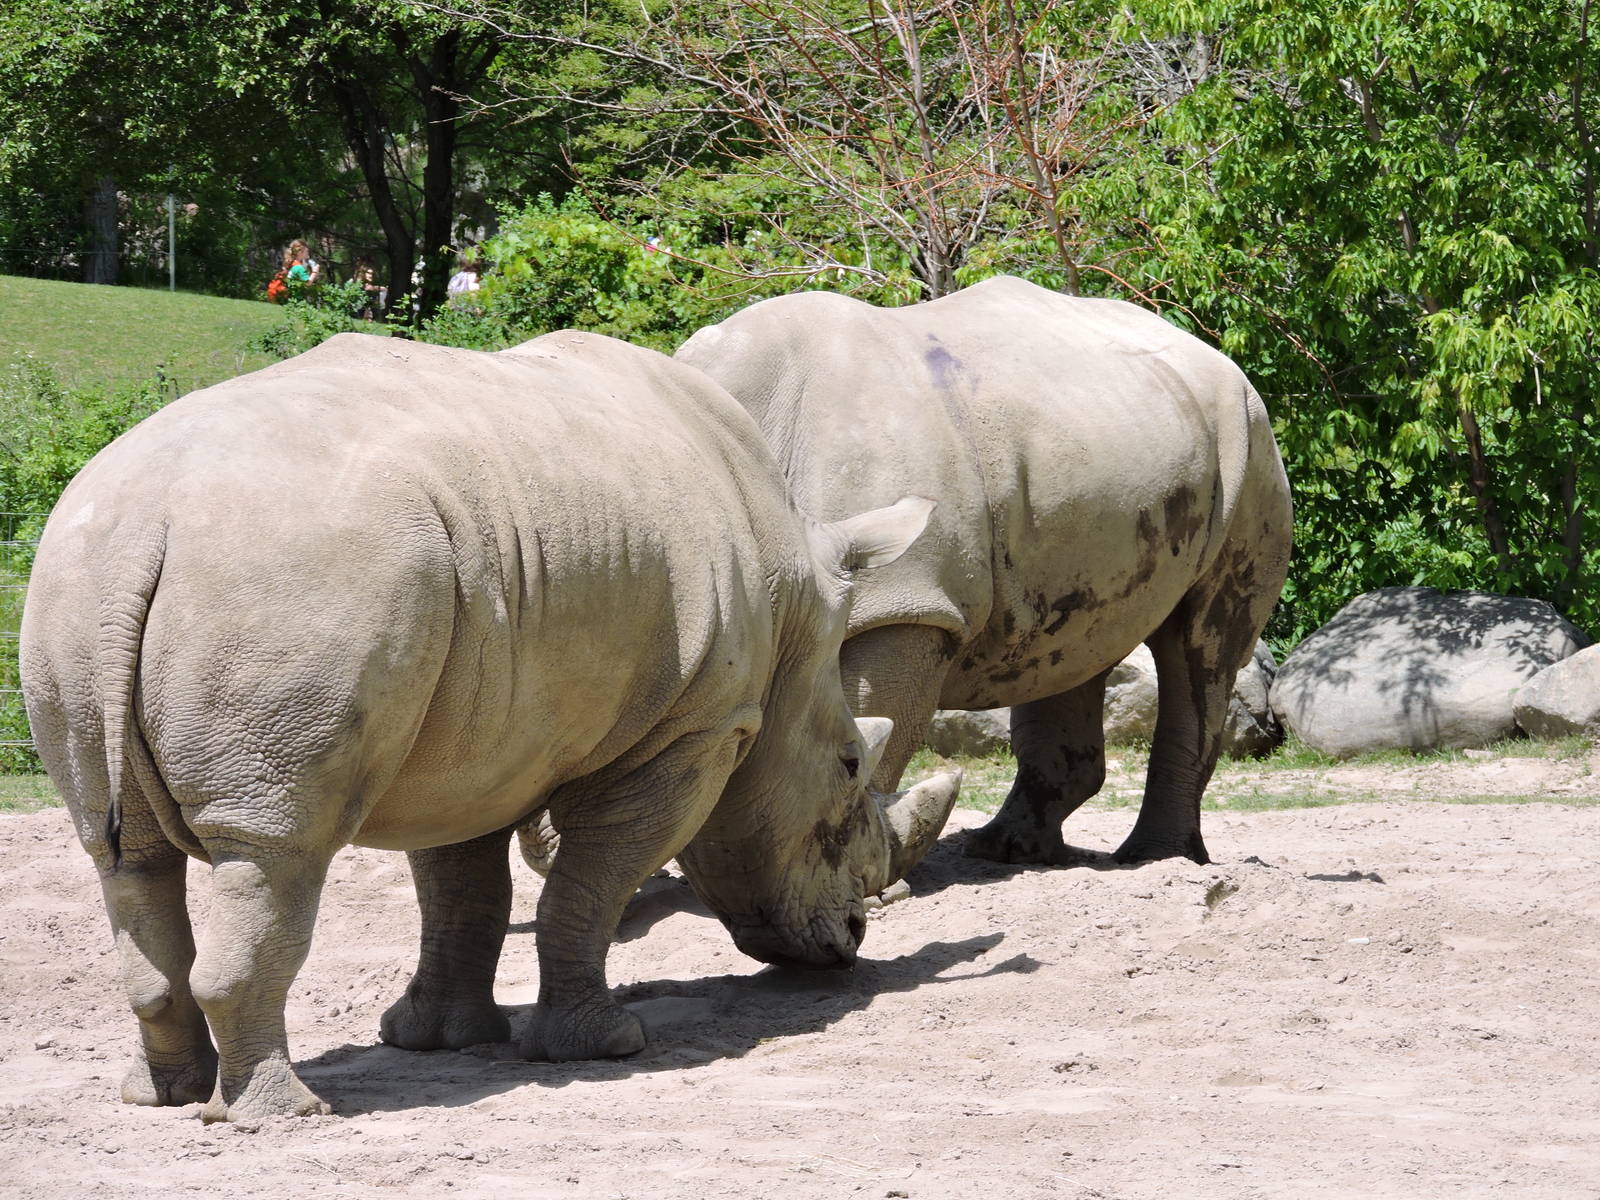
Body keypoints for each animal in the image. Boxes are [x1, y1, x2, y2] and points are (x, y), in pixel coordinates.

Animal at [20, 331, 961, 1125]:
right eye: (850, 766)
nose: (851, 940)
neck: (794, 612)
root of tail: (149, 523)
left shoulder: (468, 734)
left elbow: (463, 886)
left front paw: (437, 1040)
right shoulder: (694, 731)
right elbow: (588, 886)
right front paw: (603, 1047)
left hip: (79, 583)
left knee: (124, 855)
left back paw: (164, 1098)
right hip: (293, 579)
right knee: (276, 848)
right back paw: (282, 1115)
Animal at [676, 275, 1292, 866]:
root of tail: (1222, 362)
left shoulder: (904, 600)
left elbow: (867, 723)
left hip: (1249, 442)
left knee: (1201, 644)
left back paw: (1157, 857)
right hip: (1096, 450)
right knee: (1074, 638)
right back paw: (1006, 850)